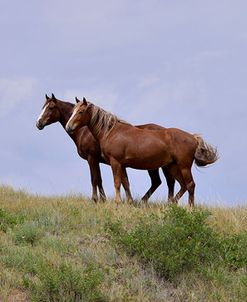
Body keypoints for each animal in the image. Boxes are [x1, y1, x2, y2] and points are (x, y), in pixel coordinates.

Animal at [35, 94, 177, 203]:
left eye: (51, 107)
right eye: (43, 107)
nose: (38, 123)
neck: (85, 131)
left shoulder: (92, 158)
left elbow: (95, 179)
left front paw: (96, 200)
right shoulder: (99, 161)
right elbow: (100, 179)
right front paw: (103, 199)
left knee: (162, 182)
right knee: (159, 182)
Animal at [65, 98, 218, 206]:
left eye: (80, 112)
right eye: (72, 111)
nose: (68, 127)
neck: (111, 132)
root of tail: (193, 137)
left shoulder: (115, 162)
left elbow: (117, 182)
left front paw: (117, 203)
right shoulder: (122, 165)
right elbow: (125, 183)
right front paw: (129, 203)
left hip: (184, 166)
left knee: (190, 185)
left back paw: (190, 208)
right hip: (172, 166)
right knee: (182, 185)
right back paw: (170, 204)